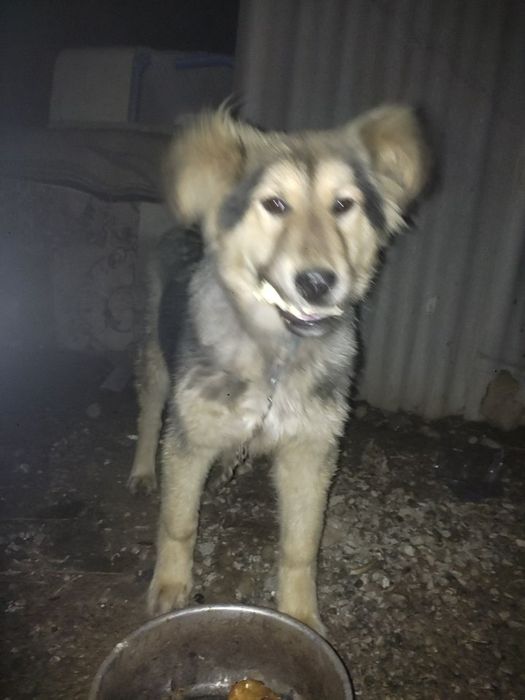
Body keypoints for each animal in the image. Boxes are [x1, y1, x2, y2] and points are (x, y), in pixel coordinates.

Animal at [128, 105, 430, 633]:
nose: (317, 283)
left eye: (343, 205)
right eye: (274, 204)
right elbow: (179, 522)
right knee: (148, 415)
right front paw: (169, 586)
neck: (277, 353)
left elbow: (301, 546)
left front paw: (302, 616)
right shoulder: (191, 441)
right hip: (157, 361)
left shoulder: (311, 452)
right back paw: (143, 469)